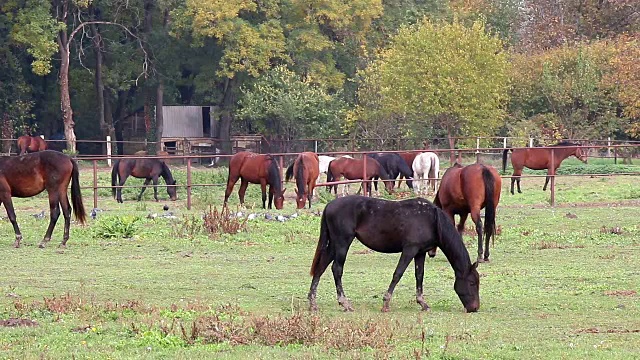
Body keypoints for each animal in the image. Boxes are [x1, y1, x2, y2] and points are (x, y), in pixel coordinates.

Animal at [306, 194, 480, 312]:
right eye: (472, 283)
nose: (475, 308)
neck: (431, 219)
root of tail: (329, 205)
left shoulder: (420, 253)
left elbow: (419, 276)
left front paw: (422, 303)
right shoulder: (410, 249)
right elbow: (398, 274)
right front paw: (386, 302)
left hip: (334, 245)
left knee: (321, 268)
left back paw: (313, 303)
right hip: (343, 243)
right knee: (337, 269)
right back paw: (344, 302)